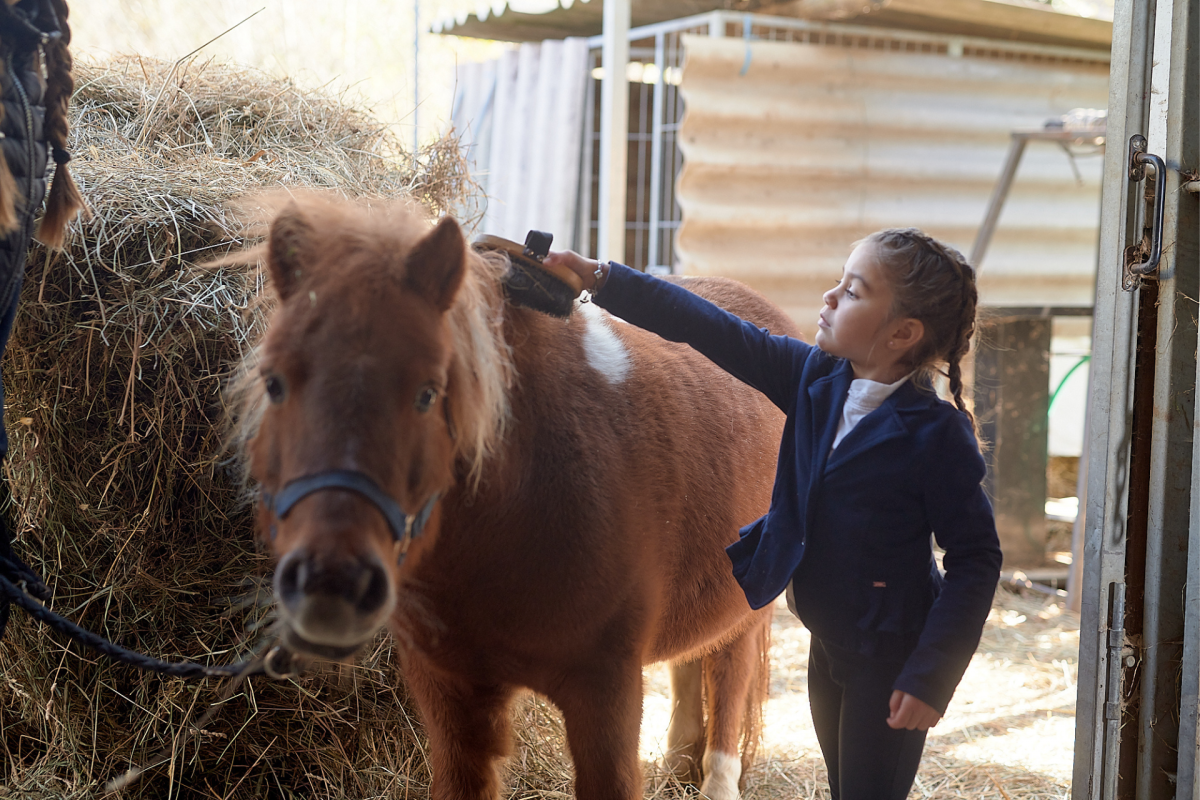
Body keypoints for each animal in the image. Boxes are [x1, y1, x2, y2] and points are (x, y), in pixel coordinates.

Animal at [232, 194, 796, 800]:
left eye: (429, 392)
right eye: (273, 382)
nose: (331, 582)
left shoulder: (606, 692)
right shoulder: (451, 696)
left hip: (746, 611)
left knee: (728, 683)